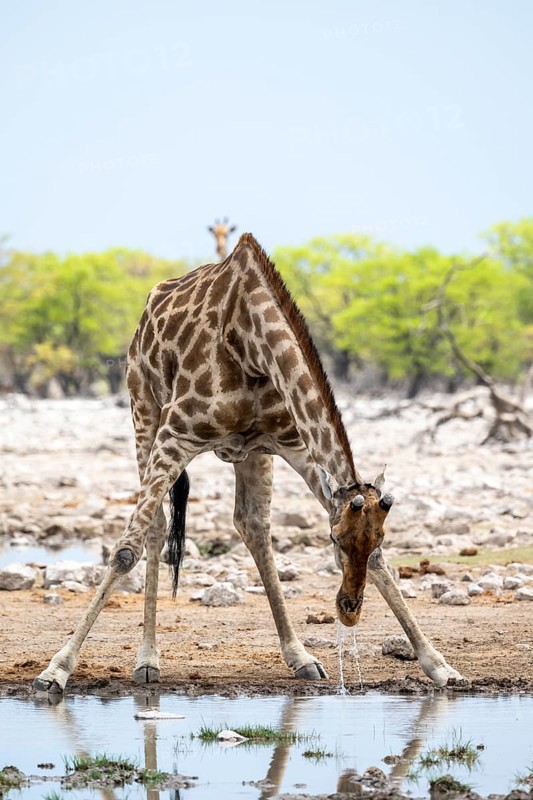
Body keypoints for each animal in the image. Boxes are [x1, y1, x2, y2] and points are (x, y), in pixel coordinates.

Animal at [33, 233, 463, 694]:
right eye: (334, 539)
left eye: (376, 539)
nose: (349, 610)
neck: (250, 342)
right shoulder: (175, 434)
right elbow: (124, 551)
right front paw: (55, 670)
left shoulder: (292, 443)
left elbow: (373, 561)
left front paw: (439, 665)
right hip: (143, 411)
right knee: (156, 528)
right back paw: (147, 660)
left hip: (251, 453)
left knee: (252, 525)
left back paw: (300, 657)